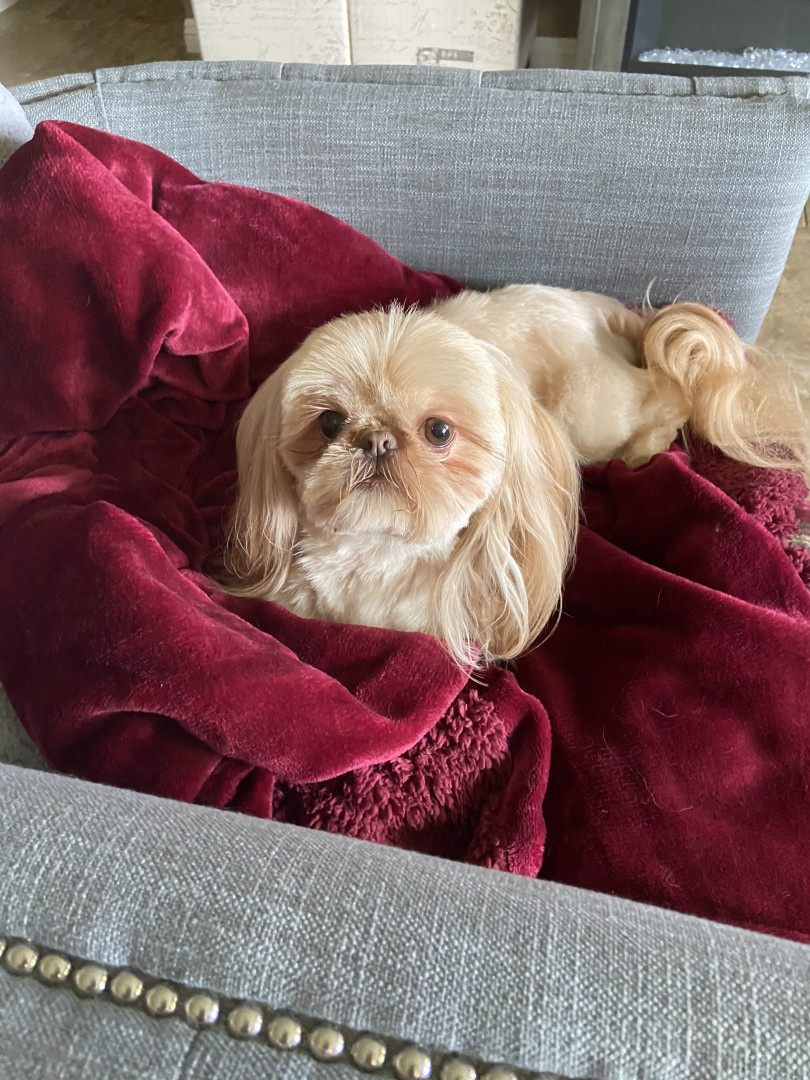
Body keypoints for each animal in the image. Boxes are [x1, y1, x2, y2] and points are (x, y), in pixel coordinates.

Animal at [220, 285, 806, 668]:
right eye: (329, 422)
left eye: (438, 431)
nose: (378, 441)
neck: (379, 552)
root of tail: (597, 308)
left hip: (591, 412)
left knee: (672, 391)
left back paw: (646, 448)